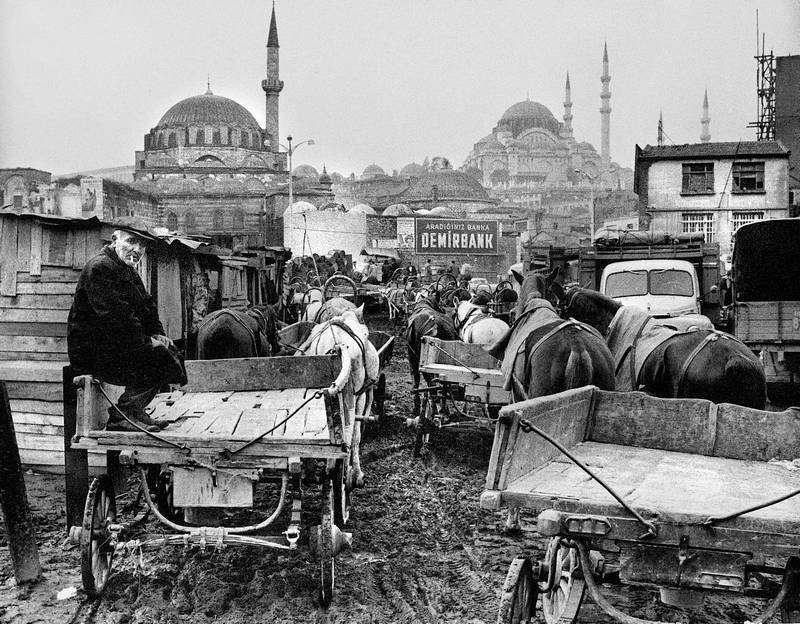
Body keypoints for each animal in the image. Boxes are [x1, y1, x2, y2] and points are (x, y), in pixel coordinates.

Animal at [296, 310, 380, 488]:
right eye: (366, 335)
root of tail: (335, 345)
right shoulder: (360, 397)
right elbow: (355, 435)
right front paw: (356, 475)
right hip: (355, 397)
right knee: (348, 434)